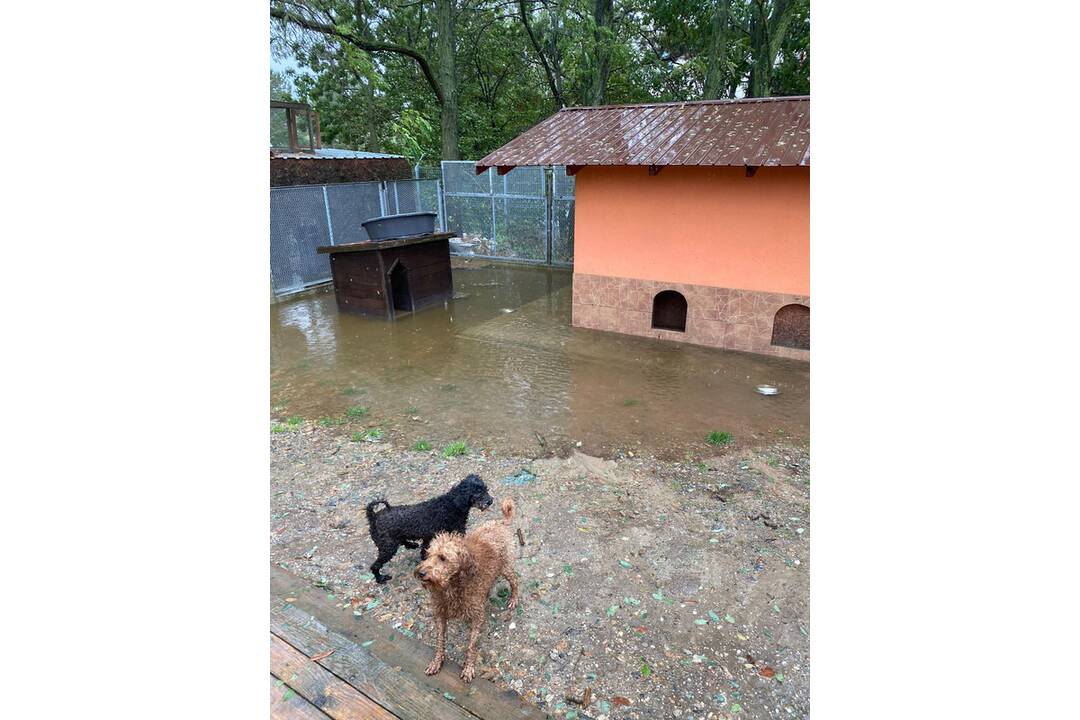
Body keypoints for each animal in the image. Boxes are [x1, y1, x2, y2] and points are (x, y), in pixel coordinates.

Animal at [410, 496, 516, 682]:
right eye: (427, 555)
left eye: (443, 558)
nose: (420, 573)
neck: (452, 586)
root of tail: (499, 522)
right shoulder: (440, 613)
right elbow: (440, 641)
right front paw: (436, 662)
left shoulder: (477, 616)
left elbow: (471, 646)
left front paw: (468, 668)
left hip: (506, 567)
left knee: (516, 580)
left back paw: (514, 599)